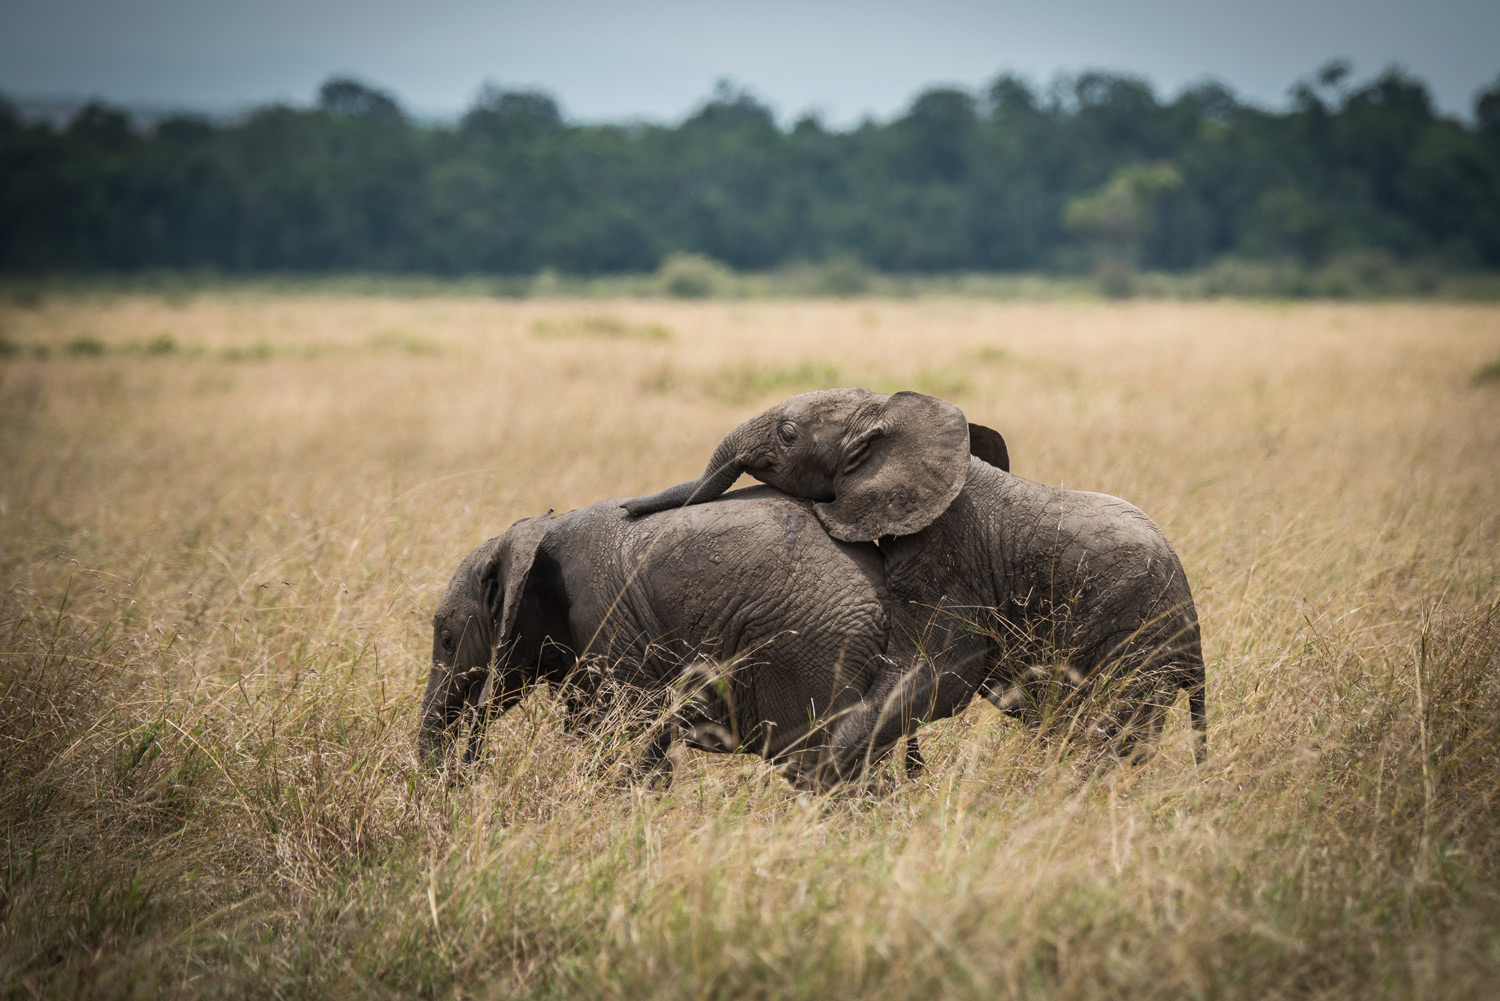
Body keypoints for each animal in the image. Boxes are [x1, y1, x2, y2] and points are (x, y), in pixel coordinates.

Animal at [417, 486, 900, 792]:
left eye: (447, 639)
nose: (461, 778)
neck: (538, 535)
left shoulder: (606, 619)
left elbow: (629, 730)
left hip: (816, 655)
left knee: (817, 769)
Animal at [621, 387, 1206, 774]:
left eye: (787, 436)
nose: (627, 508)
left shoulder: (948, 558)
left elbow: (940, 671)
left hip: (1136, 644)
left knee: (1108, 730)